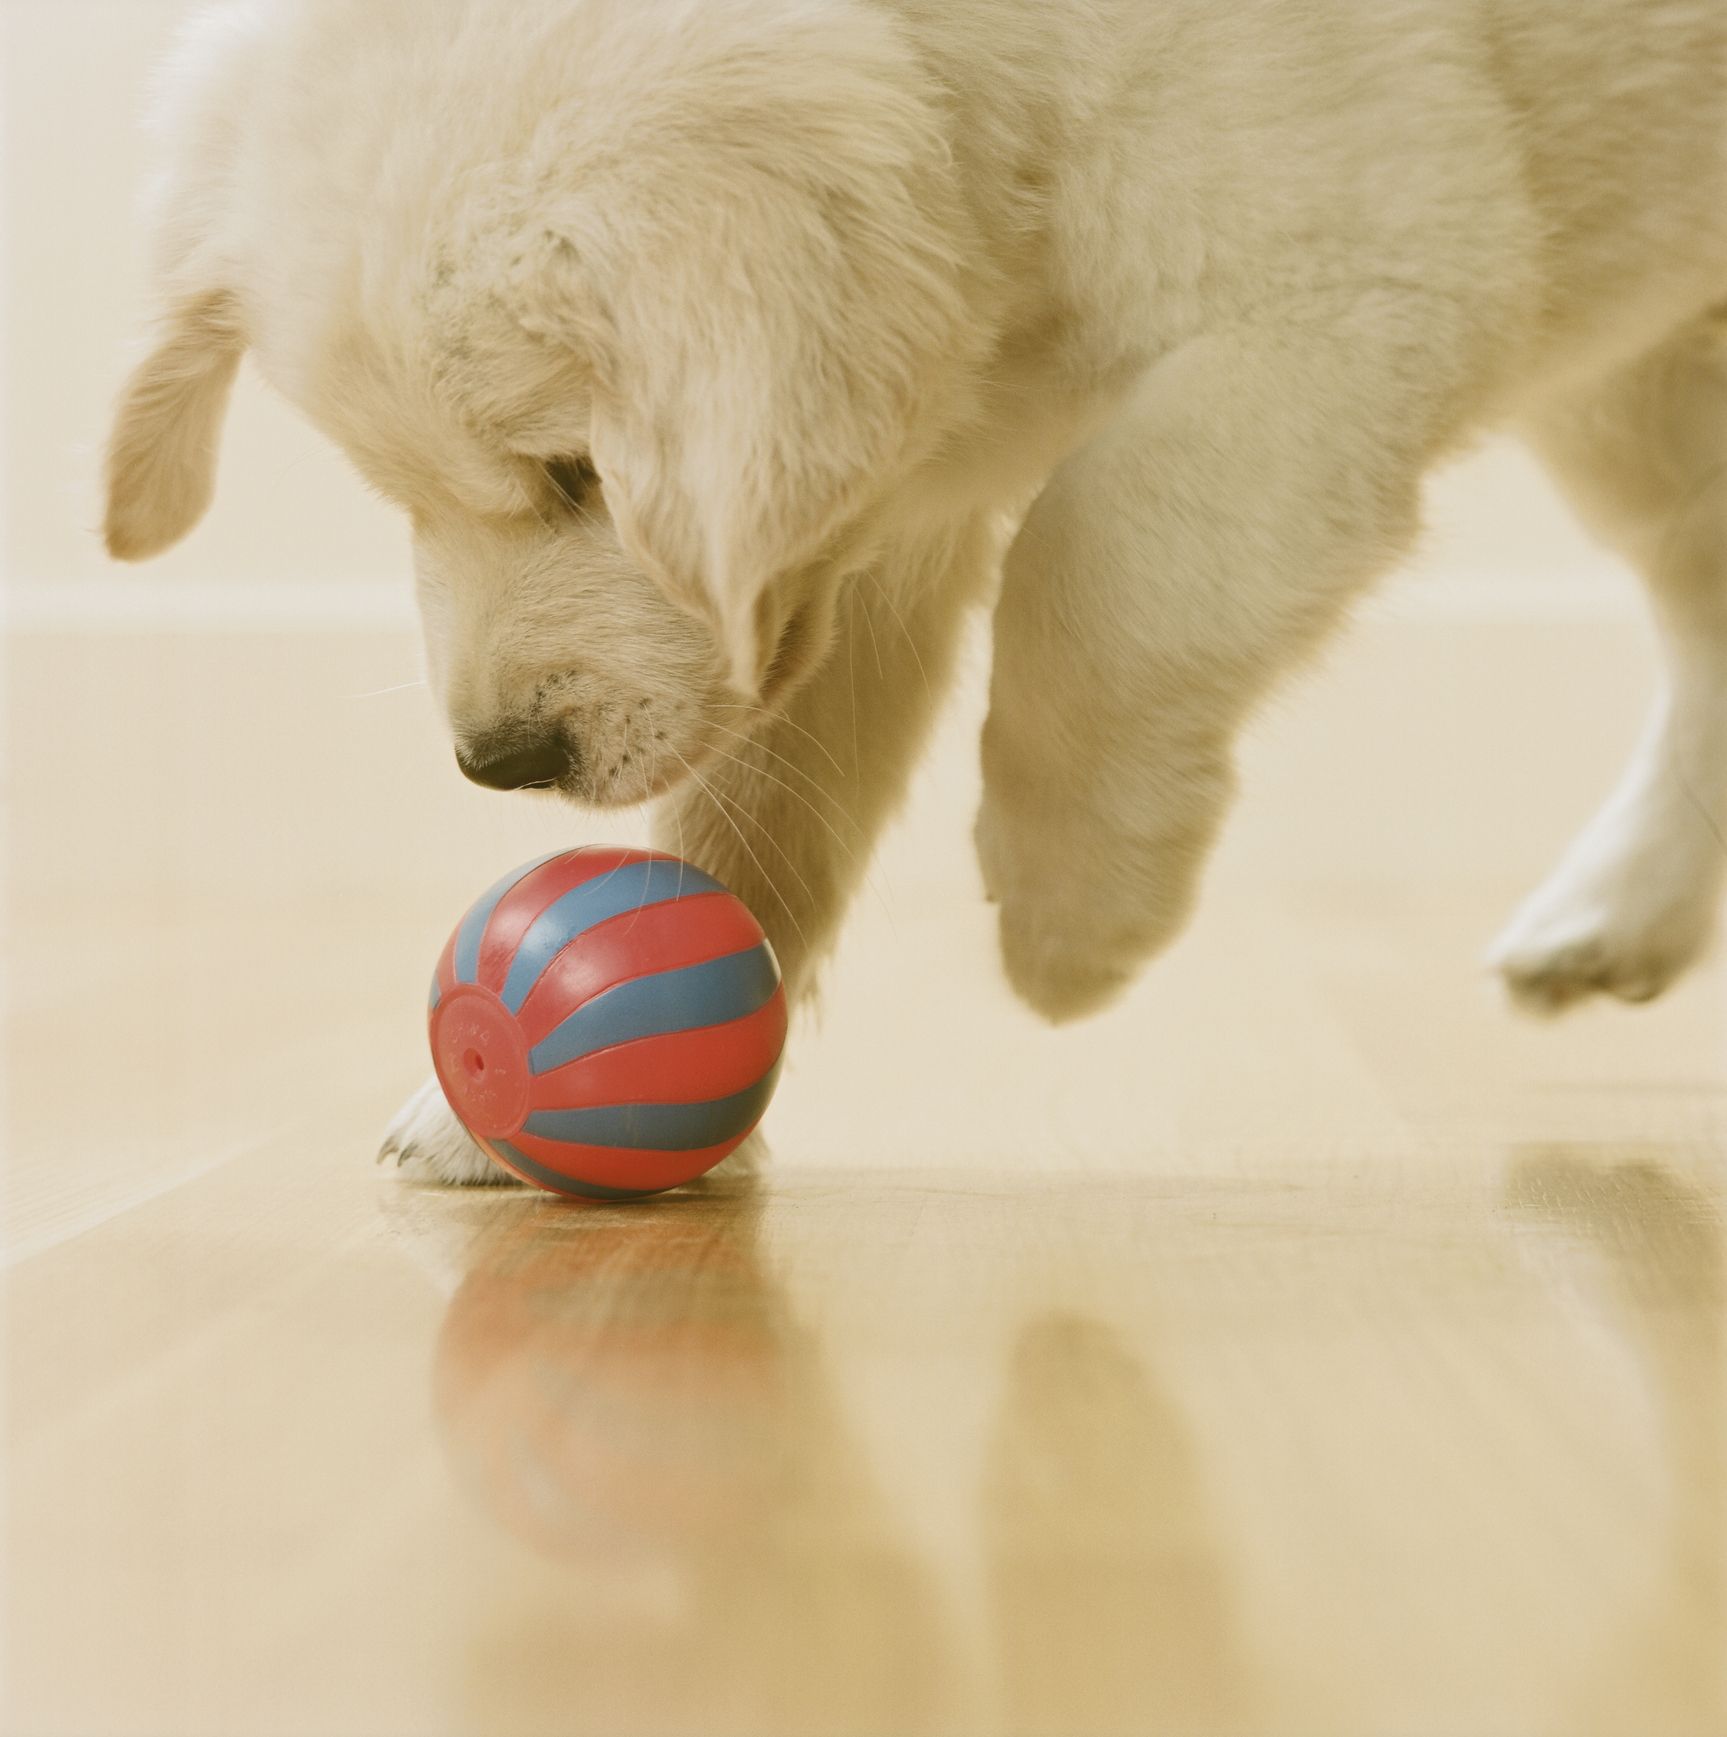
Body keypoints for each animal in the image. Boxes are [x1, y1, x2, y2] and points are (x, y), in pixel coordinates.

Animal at [104, 0, 1723, 1181]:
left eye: (575, 474)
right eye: (404, 500)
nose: (499, 762)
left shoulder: (1345, 291)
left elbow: (1100, 568)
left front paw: (1073, 910)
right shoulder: (854, 538)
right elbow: (750, 813)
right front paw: (485, 1106)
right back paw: (1619, 912)